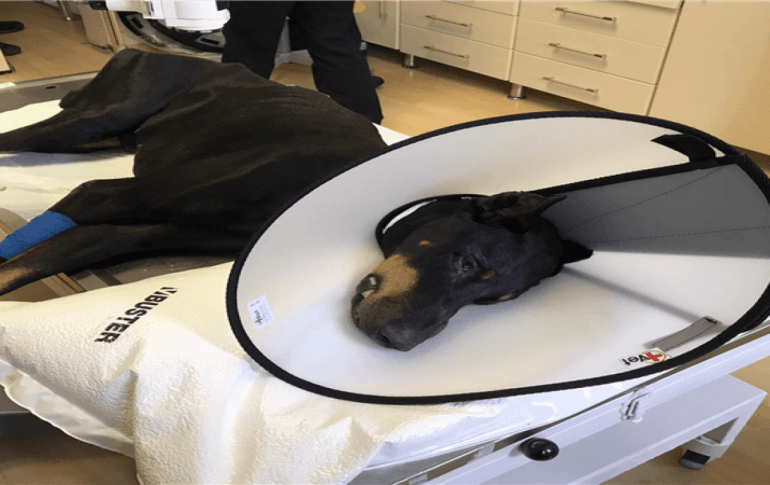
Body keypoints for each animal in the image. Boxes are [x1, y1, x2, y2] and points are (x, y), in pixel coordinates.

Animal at [0, 49, 591, 351]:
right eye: (468, 263)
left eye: (493, 302)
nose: (398, 340)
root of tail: (150, 47)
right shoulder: (104, 194)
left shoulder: (141, 227)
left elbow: (49, 254)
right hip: (96, 118)